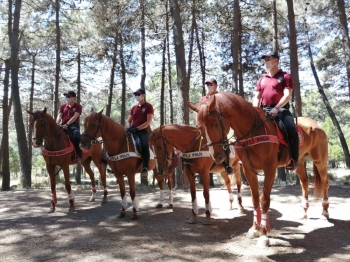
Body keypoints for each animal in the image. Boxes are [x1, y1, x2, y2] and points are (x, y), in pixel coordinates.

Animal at [197, 92, 330, 246]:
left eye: (216, 124)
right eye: (199, 127)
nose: (216, 156)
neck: (253, 131)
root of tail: (316, 125)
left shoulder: (270, 169)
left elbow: (264, 200)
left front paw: (264, 235)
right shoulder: (248, 169)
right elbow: (255, 199)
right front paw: (254, 229)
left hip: (320, 161)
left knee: (325, 182)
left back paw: (325, 211)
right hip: (299, 162)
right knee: (305, 182)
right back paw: (304, 211)